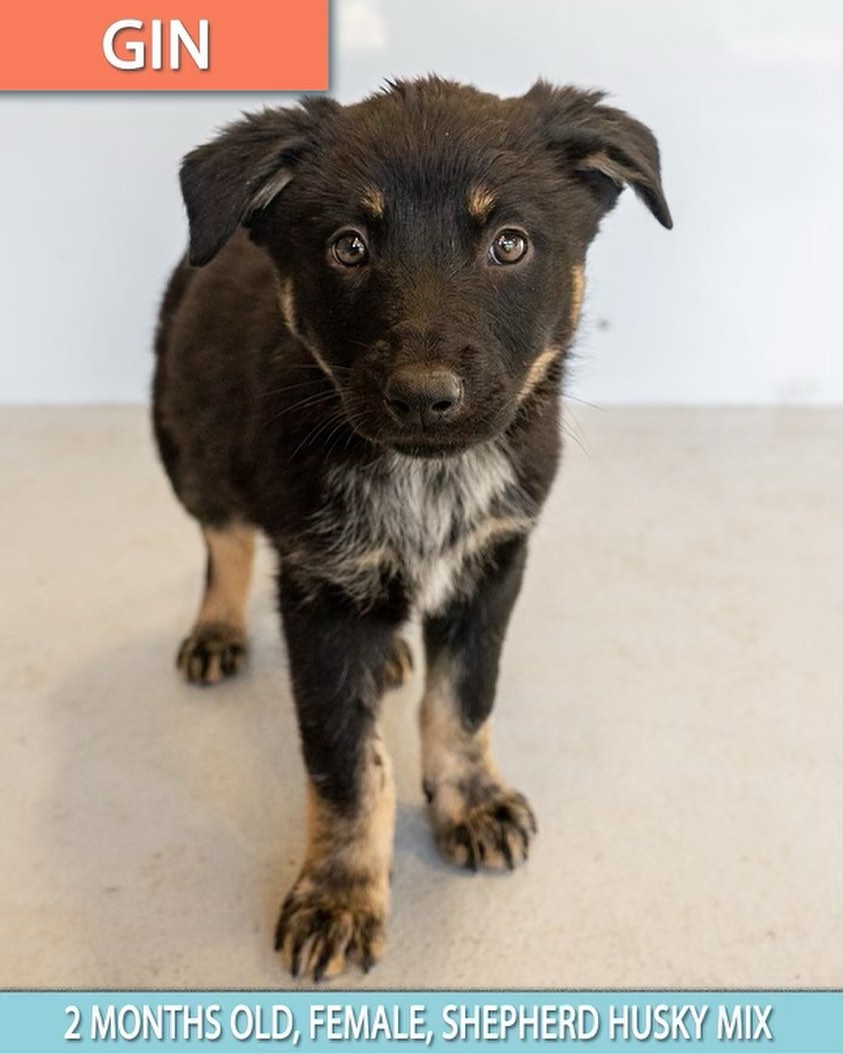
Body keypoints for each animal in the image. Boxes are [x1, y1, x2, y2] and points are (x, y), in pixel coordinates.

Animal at [149, 77, 665, 982]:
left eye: (508, 244)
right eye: (349, 246)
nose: (424, 398)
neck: (427, 479)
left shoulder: (494, 561)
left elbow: (462, 698)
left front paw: (471, 802)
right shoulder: (320, 592)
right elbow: (346, 764)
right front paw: (338, 894)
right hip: (187, 445)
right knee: (225, 541)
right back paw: (217, 628)